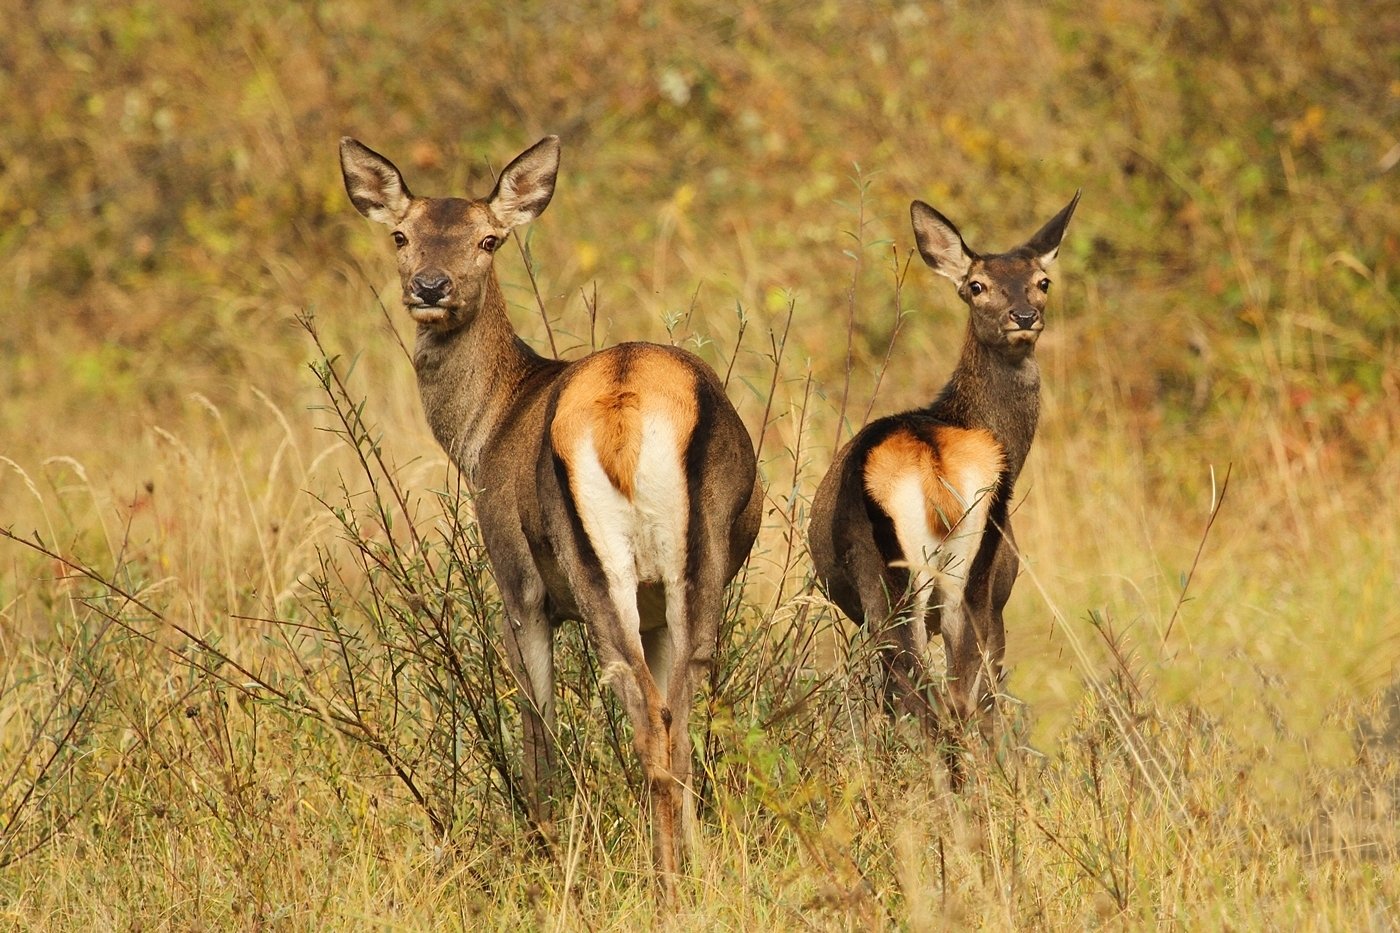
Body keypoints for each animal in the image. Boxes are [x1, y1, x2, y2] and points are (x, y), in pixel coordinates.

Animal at [340, 132, 767, 885]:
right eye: (401, 234)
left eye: (488, 239)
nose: (430, 287)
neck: (487, 426)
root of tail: (626, 409)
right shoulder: (656, 608)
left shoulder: (518, 582)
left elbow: (534, 720)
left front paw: (539, 845)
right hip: (697, 563)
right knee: (681, 710)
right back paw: (693, 868)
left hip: (591, 565)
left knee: (643, 709)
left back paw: (661, 882)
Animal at [806, 190, 1075, 762]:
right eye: (977, 286)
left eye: (1043, 281)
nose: (1023, 316)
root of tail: (933, 466)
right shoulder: (999, 590)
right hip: (950, 587)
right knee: (953, 701)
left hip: (904, 591)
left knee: (934, 701)